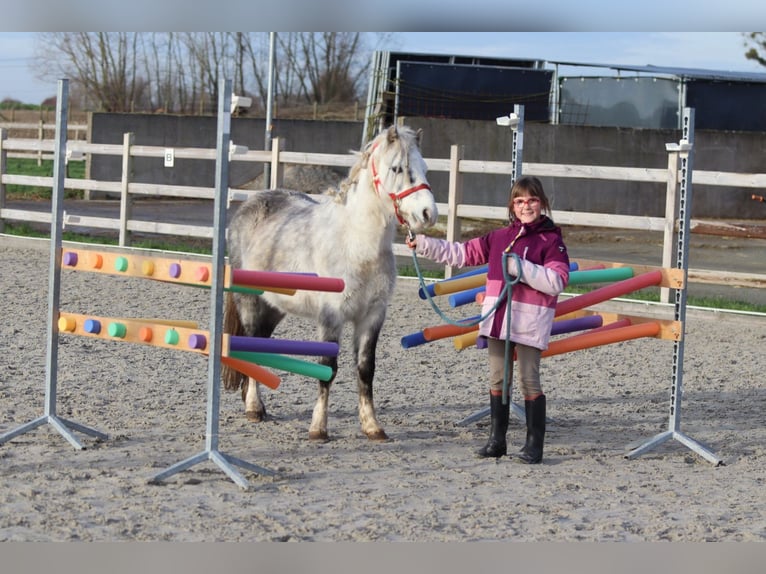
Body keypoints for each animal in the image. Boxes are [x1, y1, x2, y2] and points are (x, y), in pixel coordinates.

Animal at [222, 125, 438, 441]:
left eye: (425, 168)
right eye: (397, 168)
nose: (428, 214)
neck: (356, 244)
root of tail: (248, 205)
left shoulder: (372, 317)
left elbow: (365, 369)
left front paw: (372, 426)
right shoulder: (331, 318)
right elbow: (328, 369)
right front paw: (318, 428)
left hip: (274, 308)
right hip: (249, 301)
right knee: (249, 348)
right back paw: (253, 409)